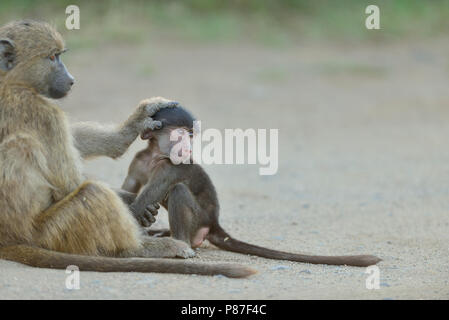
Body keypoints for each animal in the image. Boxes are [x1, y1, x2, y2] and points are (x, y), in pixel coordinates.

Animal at [123, 107, 382, 268]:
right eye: (180, 135)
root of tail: (214, 222)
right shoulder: (139, 160)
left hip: (199, 219)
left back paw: (181, 245)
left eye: (191, 136)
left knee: (178, 191)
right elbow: (131, 191)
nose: (187, 147)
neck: (155, 156)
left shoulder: (170, 167)